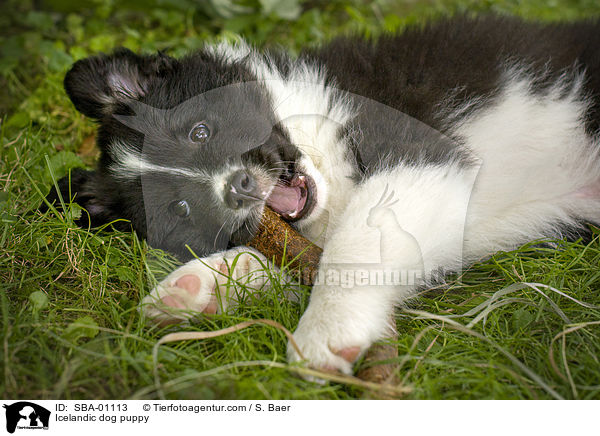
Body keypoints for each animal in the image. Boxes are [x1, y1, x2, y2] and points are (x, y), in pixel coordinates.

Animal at [49, 14, 600, 374]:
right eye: (180, 207)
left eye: (199, 131)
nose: (239, 188)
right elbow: (305, 256)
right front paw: (193, 289)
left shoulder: (417, 151)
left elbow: (353, 245)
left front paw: (326, 334)